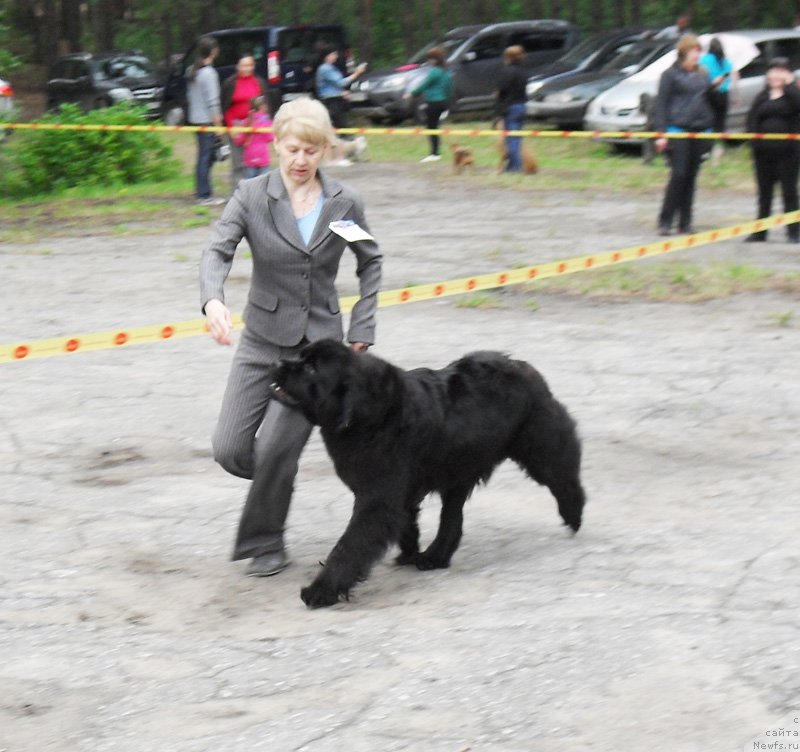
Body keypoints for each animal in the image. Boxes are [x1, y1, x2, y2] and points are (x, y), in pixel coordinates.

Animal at [270, 338, 588, 608]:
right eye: (301, 355)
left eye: (311, 368)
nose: (277, 362)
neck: (369, 417)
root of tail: (521, 365)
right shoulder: (398, 494)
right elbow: (405, 523)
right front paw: (408, 553)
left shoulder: (377, 500)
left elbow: (348, 547)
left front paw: (320, 591)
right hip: (459, 470)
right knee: (452, 519)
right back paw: (435, 557)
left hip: (539, 445)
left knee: (564, 476)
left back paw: (574, 516)